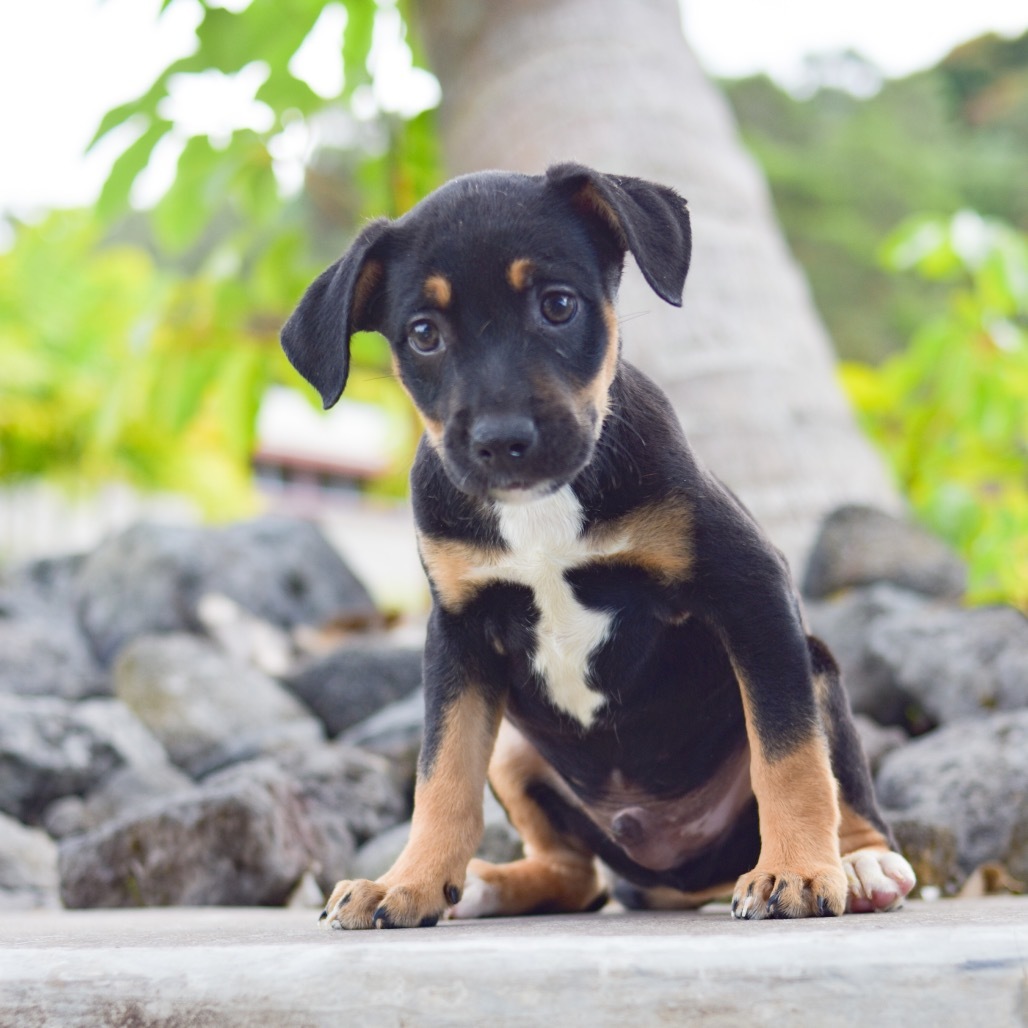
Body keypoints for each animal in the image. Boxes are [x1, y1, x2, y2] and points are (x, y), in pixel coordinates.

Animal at [281, 164, 916, 929]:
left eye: (557, 305)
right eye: (423, 334)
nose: (502, 441)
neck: (542, 507)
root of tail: (671, 876)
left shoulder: (752, 590)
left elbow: (789, 756)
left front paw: (794, 871)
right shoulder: (458, 635)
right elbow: (442, 775)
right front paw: (410, 882)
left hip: (815, 665)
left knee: (839, 781)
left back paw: (858, 864)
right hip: (515, 751)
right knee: (573, 875)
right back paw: (484, 886)